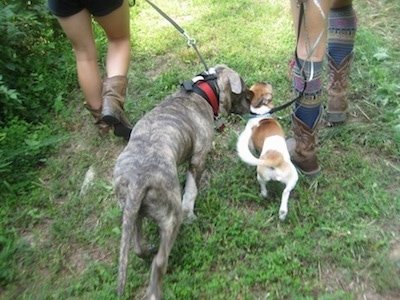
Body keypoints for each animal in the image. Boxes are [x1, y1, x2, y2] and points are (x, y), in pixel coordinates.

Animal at [114, 64, 248, 298]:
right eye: (242, 88)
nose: (251, 102)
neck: (203, 88)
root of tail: (138, 181)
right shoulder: (198, 158)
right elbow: (192, 190)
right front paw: (191, 214)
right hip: (170, 215)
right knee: (159, 261)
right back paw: (155, 291)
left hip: (132, 211)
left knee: (138, 246)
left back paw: (147, 250)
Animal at [238, 82, 296, 220]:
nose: (268, 82)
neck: (260, 114)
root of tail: (274, 160)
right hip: (292, 178)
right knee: (285, 192)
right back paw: (282, 213)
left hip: (261, 175)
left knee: (267, 189)